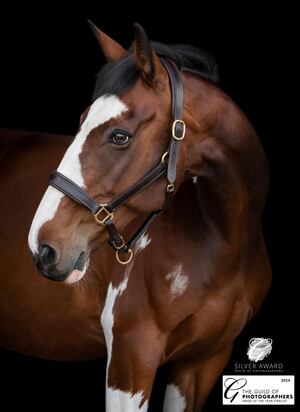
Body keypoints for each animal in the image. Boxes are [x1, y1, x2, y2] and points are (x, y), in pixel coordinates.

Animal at [0, 23, 272, 412]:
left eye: (119, 136)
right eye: (80, 122)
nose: (43, 247)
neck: (223, 240)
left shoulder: (202, 363)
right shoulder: (131, 360)